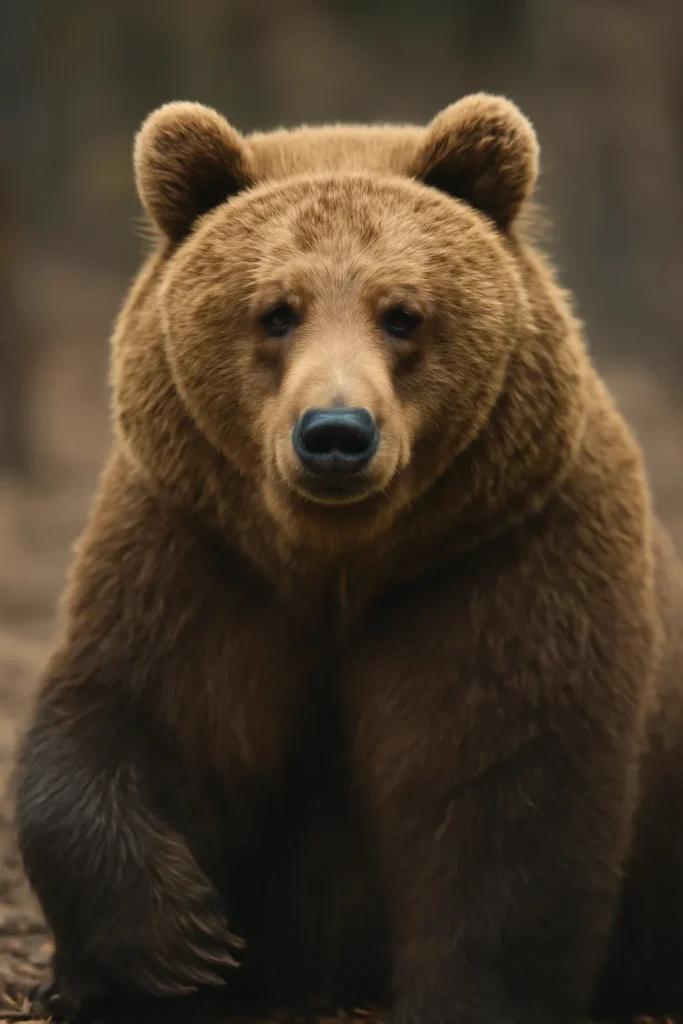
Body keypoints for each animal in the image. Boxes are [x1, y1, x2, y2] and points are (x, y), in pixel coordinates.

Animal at [13, 93, 683, 1024]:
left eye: (401, 313)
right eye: (276, 310)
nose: (335, 432)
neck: (341, 561)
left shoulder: (502, 561)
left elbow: (504, 798)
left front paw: (465, 992)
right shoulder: (196, 550)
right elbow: (129, 715)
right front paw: (184, 943)